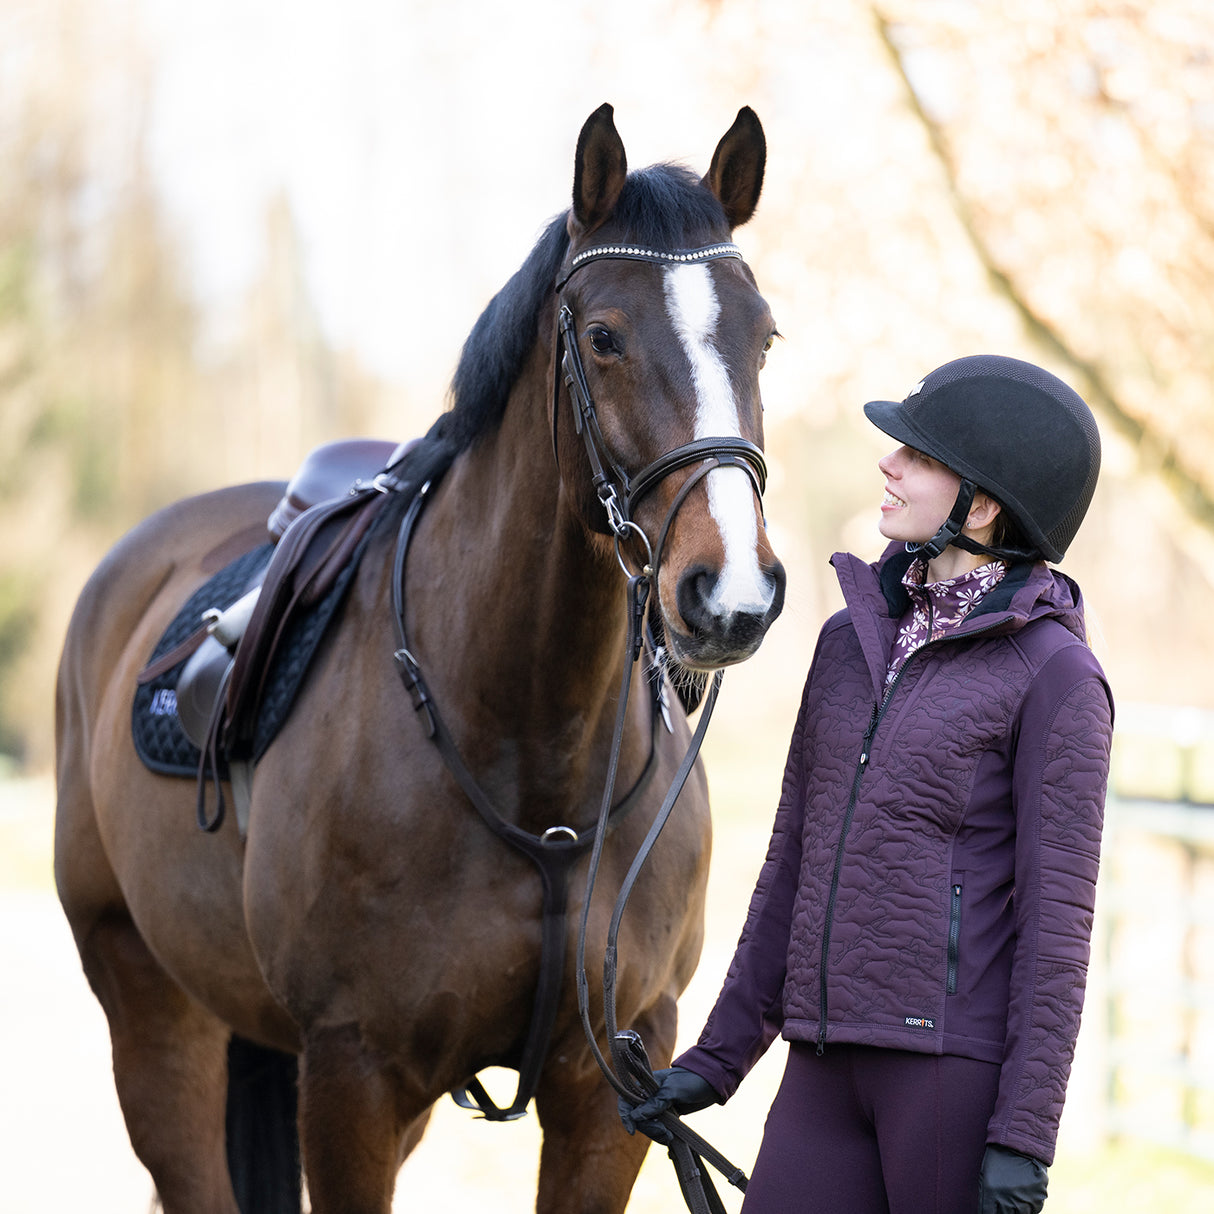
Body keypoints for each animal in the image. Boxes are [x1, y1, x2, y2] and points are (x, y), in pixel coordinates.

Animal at [52, 106, 781, 1214]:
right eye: (603, 337)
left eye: (764, 338)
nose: (728, 591)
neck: (530, 758)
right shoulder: (350, 1072)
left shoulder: (610, 1086)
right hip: (151, 1007)